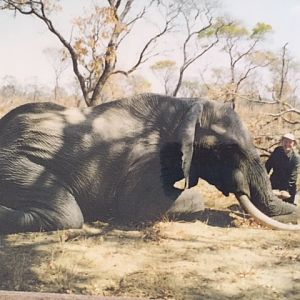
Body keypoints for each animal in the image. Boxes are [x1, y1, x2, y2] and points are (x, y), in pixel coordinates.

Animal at [0, 94, 298, 234]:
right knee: (67, 214)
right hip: (14, 162)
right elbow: (135, 205)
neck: (188, 105)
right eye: (229, 150)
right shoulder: (146, 162)